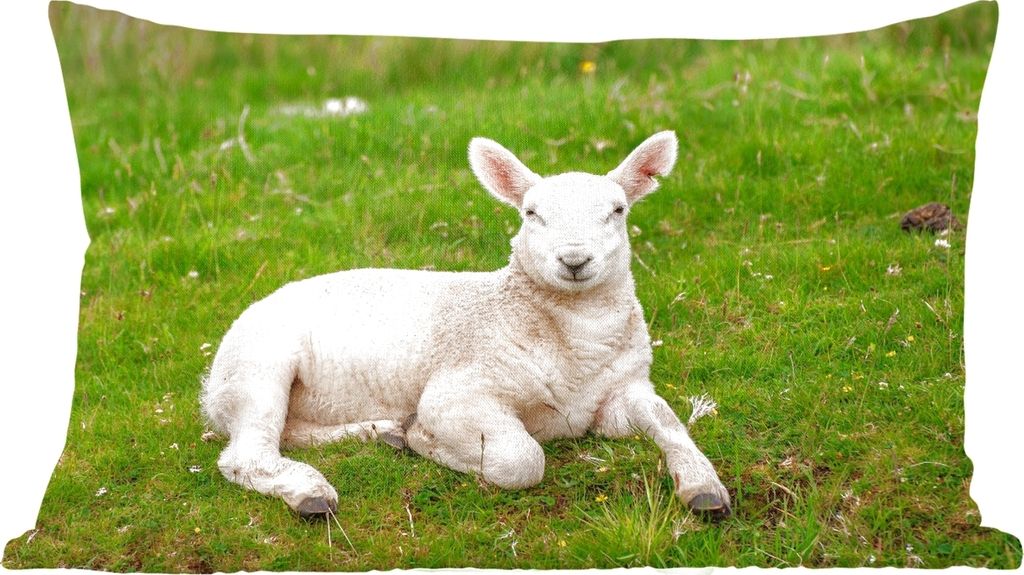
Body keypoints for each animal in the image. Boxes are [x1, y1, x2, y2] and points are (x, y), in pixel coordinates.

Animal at [200, 131, 731, 520]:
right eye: (531, 214)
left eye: (617, 211)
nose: (574, 260)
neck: (574, 344)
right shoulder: (459, 389)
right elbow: (523, 459)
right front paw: (427, 441)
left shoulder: (625, 389)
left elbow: (668, 420)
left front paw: (704, 486)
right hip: (256, 365)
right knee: (246, 453)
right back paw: (311, 491)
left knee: (286, 433)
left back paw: (381, 432)